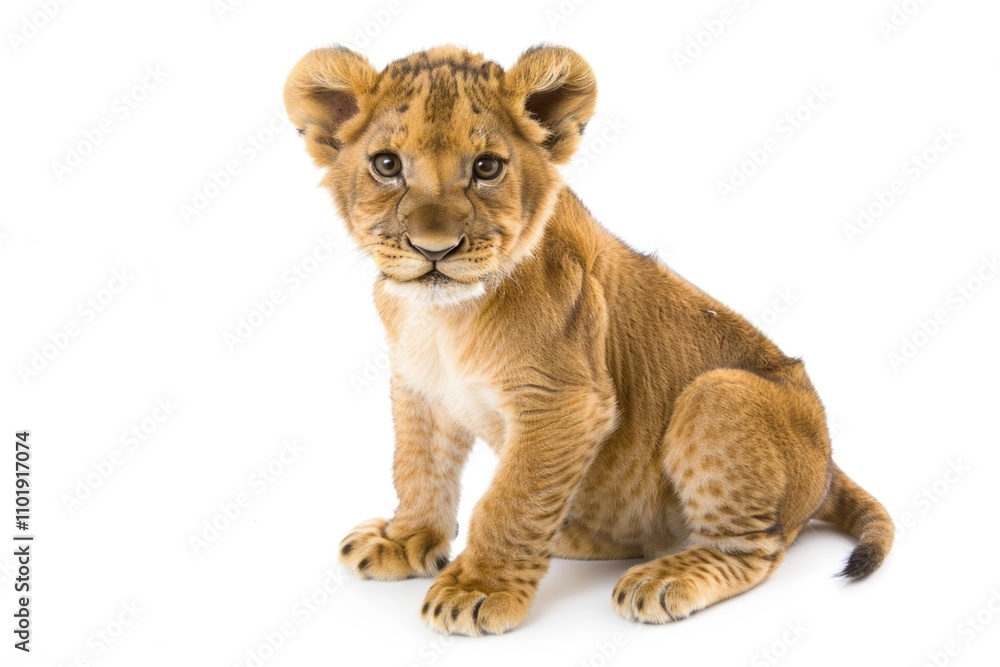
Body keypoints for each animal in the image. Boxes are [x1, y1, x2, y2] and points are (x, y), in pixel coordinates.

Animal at [284, 44, 893, 636]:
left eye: (486, 167)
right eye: (387, 165)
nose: (435, 248)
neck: (442, 317)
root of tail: (829, 464)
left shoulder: (567, 402)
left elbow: (512, 497)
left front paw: (477, 588)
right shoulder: (419, 386)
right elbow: (417, 468)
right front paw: (404, 539)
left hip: (720, 393)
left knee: (755, 548)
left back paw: (663, 578)